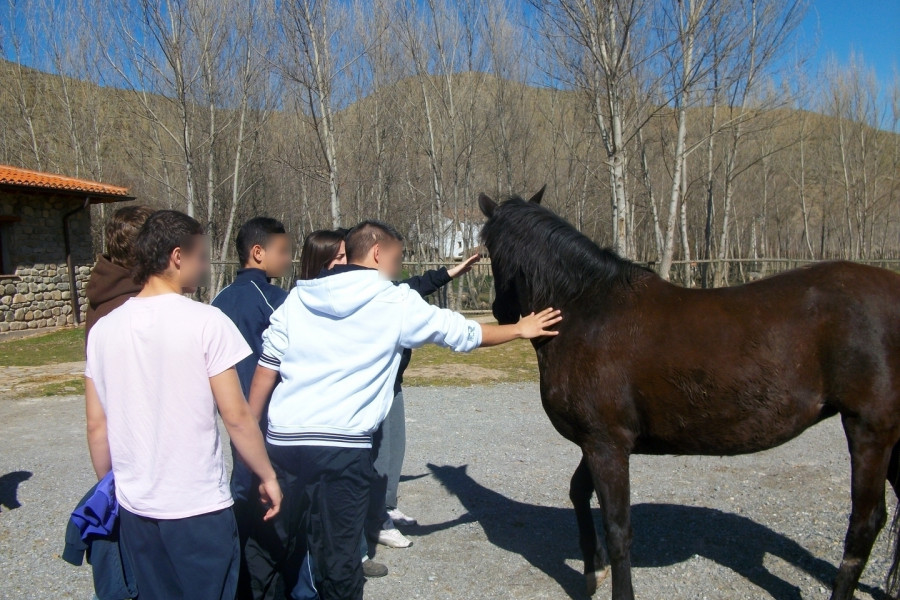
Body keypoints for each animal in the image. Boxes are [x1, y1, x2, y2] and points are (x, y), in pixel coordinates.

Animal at [482, 190, 900, 600]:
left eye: (487, 247)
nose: (500, 312)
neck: (587, 312)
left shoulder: (606, 444)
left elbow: (617, 529)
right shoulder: (599, 440)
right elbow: (577, 492)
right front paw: (592, 570)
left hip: (869, 429)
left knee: (866, 522)